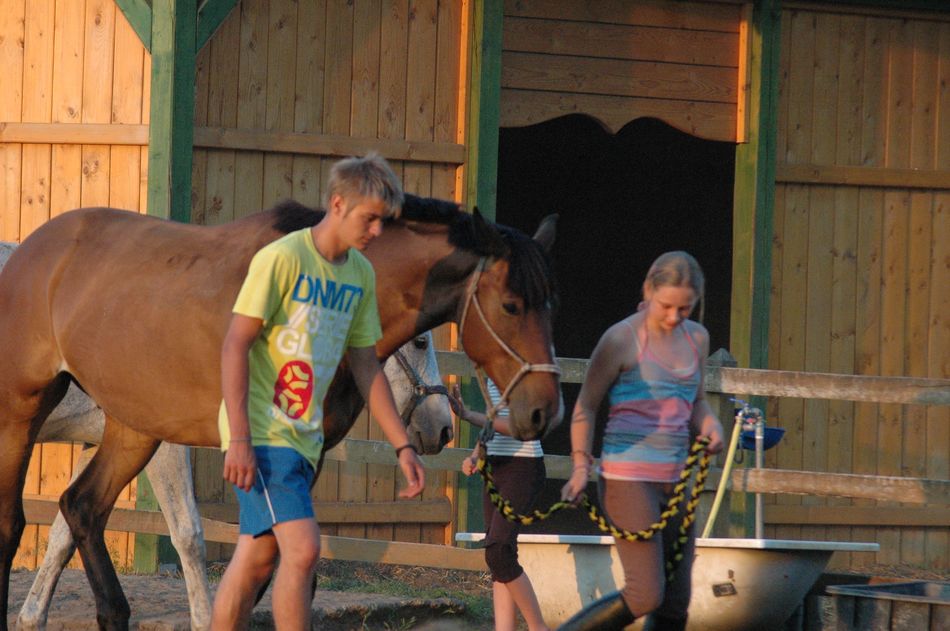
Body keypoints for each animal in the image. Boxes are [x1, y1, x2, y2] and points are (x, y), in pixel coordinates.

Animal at [0, 194, 561, 630]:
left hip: (132, 429)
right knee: (14, 525)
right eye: (511, 305)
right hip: (21, 416)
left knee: (80, 509)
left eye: (548, 303)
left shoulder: (305, 454)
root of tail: (34, 249)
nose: (542, 411)